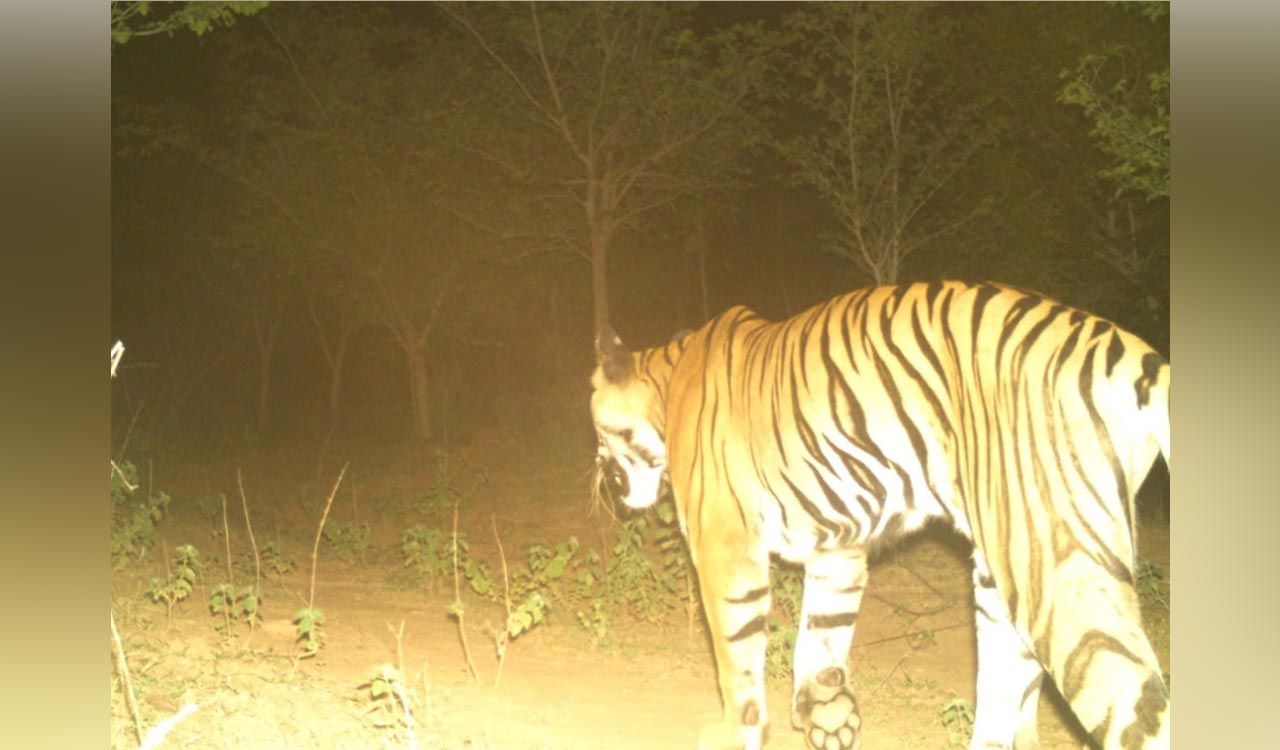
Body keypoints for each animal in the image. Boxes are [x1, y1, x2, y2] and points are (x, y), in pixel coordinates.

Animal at [589, 280, 1169, 750]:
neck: (667, 383)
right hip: (1004, 578)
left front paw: (738, 731)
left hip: (1059, 565)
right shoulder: (838, 549)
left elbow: (737, 661)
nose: (598, 469)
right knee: (1009, 700)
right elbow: (821, 637)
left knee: (1136, 702)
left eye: (595, 423)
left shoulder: (726, 546)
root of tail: (1138, 356)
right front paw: (829, 717)